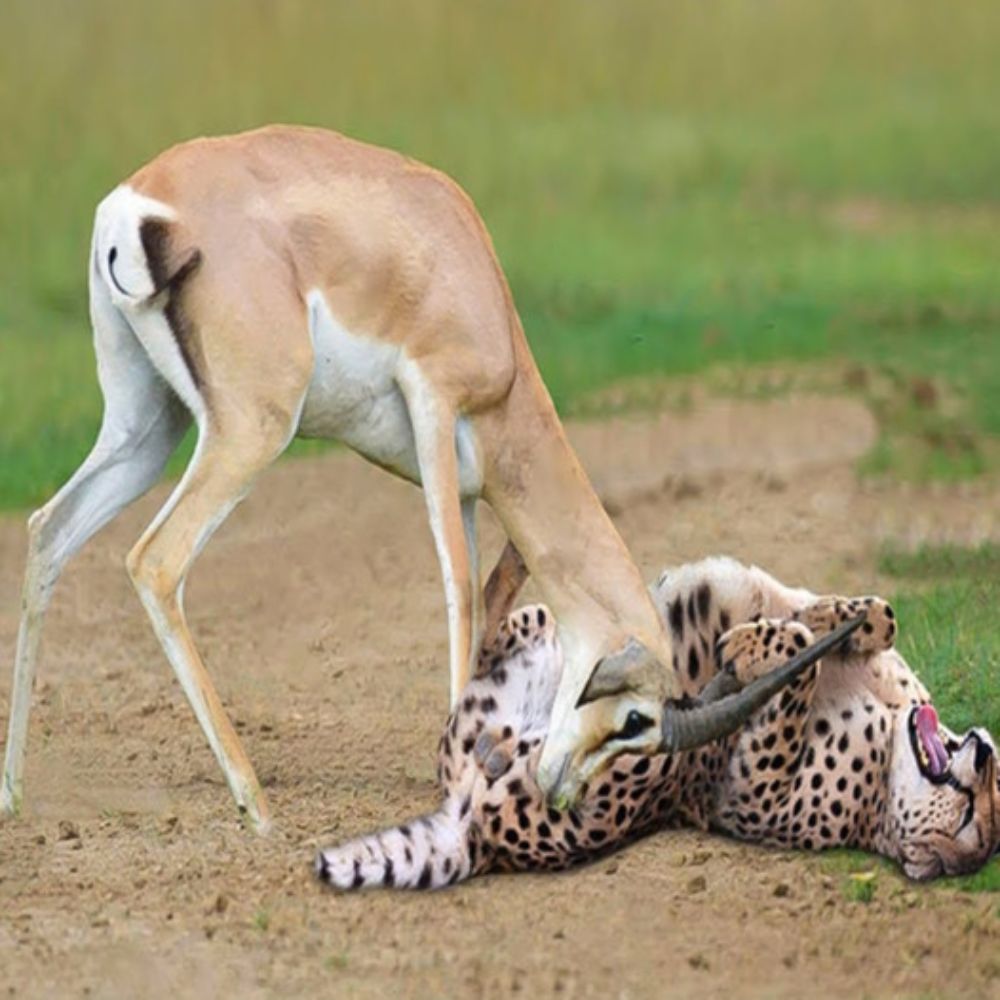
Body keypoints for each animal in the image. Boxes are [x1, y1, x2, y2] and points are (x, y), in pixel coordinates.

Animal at [1, 125, 796, 832]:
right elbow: (460, 592)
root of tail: (140, 203)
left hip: (146, 428)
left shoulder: (470, 490)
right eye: (636, 719)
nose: (563, 795)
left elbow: (486, 599)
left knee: (48, 531)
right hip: (252, 430)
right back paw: (256, 804)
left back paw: (14, 796)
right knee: (156, 561)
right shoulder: (434, 406)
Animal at [316, 556, 996, 892]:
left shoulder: (745, 794)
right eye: (980, 807)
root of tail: (476, 834)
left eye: (972, 823)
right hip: (532, 638)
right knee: (500, 625)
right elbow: (873, 614)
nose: (986, 751)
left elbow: (791, 656)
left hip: (635, 767)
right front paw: (824, 620)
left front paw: (753, 645)